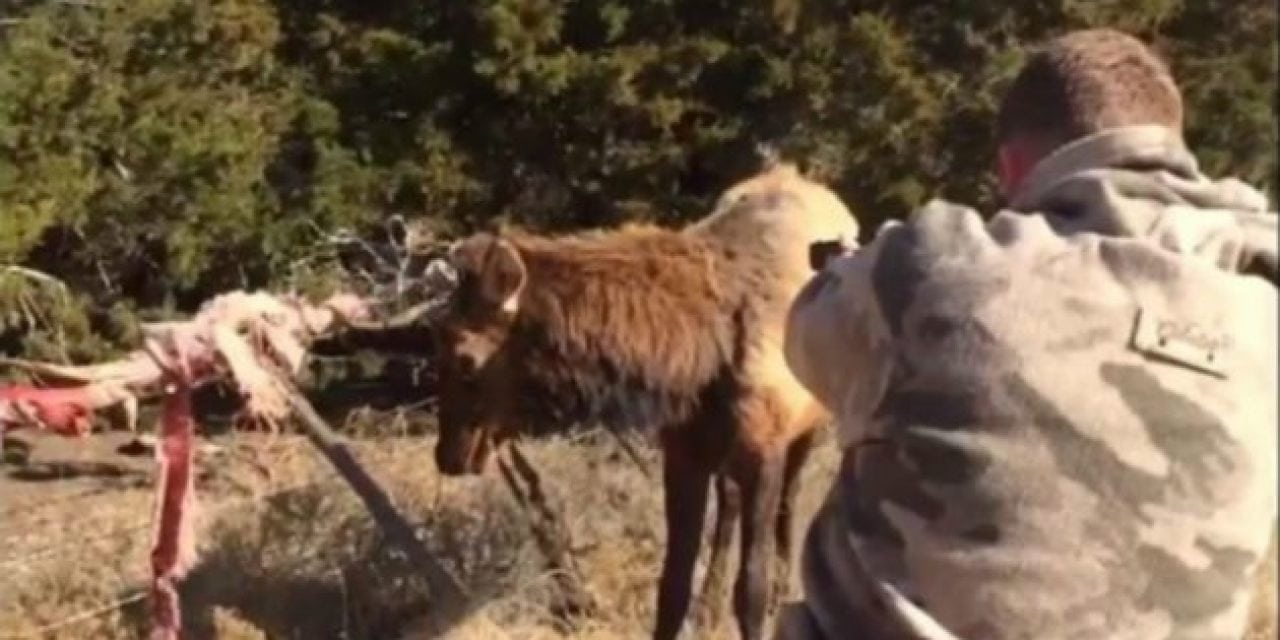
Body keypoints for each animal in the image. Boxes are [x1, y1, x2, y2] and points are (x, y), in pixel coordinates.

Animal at [424, 165, 855, 640]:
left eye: (464, 359)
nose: (447, 454)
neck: (696, 362)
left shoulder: (765, 450)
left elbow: (750, 590)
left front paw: (764, 597)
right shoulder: (683, 451)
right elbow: (672, 584)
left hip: (811, 422)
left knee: (790, 502)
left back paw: (781, 587)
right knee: (728, 505)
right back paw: (709, 610)